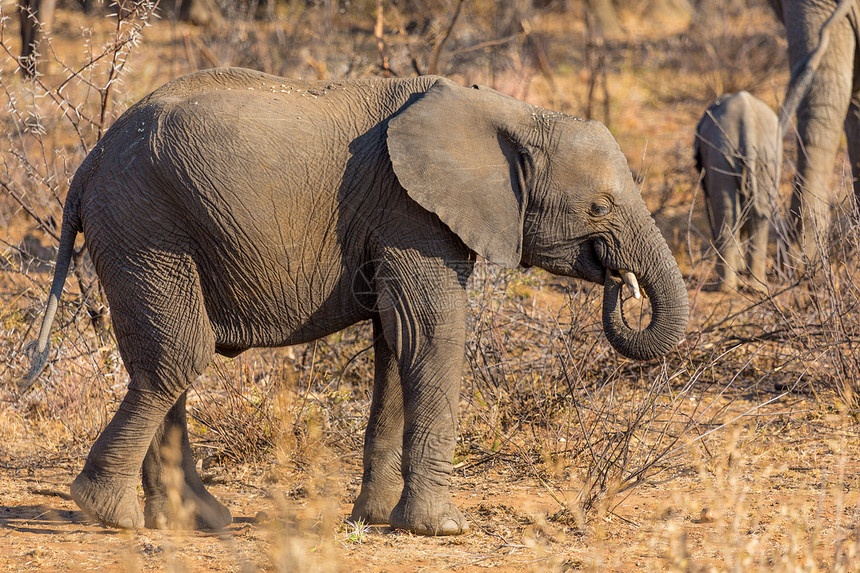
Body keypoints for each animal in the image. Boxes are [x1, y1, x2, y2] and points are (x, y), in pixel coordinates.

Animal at [23, 67, 688, 536]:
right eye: (599, 206)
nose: (620, 281)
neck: (512, 113)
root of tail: (87, 164)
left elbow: (397, 342)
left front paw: (374, 519)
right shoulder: (411, 211)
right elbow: (432, 331)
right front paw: (442, 528)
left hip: (143, 228)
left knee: (166, 359)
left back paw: (192, 521)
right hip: (145, 225)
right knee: (177, 357)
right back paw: (109, 514)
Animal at [696, 93, 784, 292]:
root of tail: (748, 123)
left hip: (720, 151)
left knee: (727, 214)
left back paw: (725, 287)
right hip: (766, 155)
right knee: (758, 214)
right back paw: (756, 287)